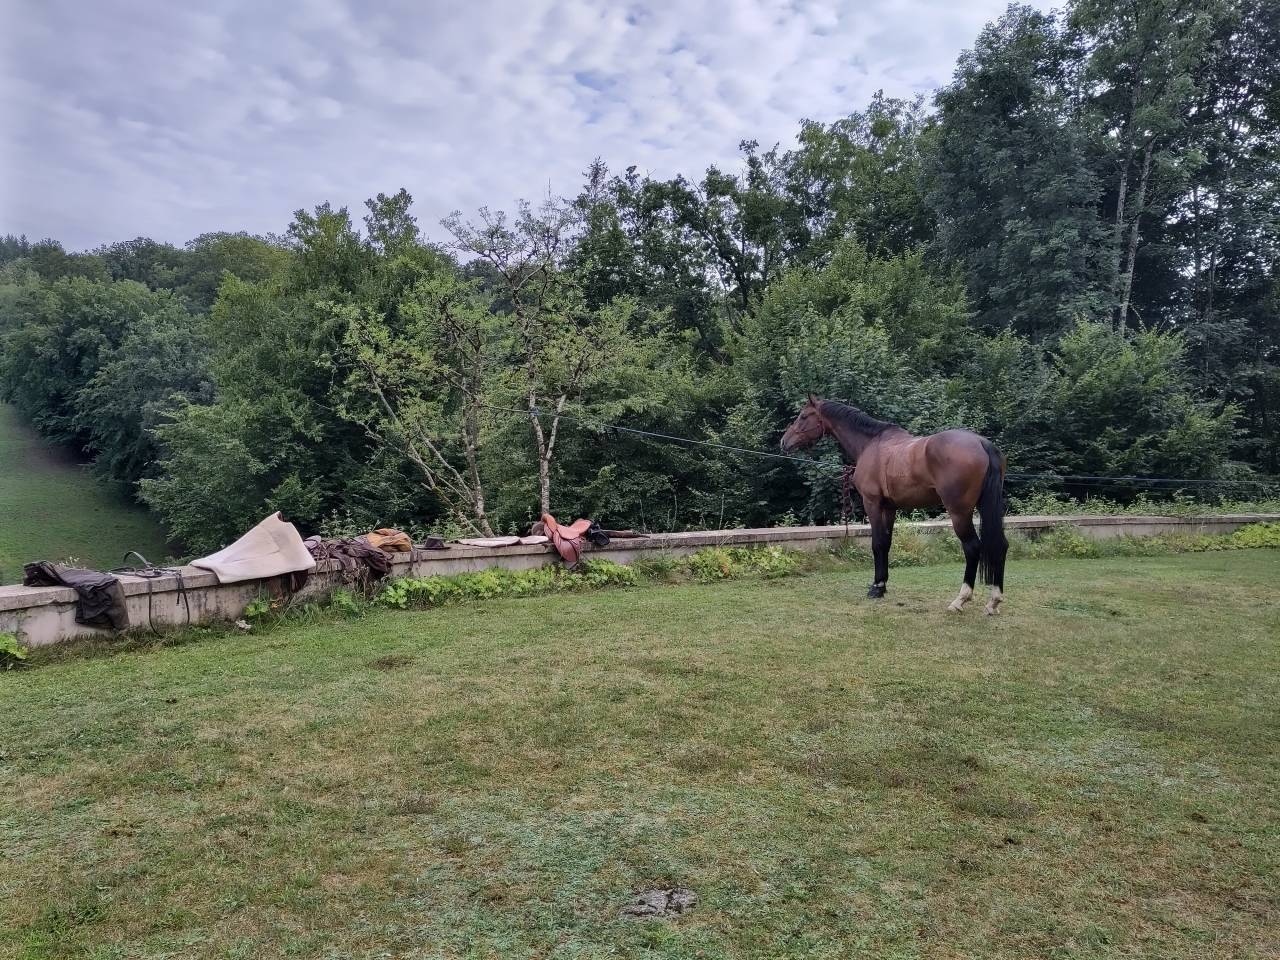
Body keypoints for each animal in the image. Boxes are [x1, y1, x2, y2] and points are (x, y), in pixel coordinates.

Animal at [780, 395, 1008, 614]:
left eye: (803, 416)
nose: (784, 442)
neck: (871, 444)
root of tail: (981, 443)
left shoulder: (872, 503)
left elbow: (877, 543)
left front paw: (876, 587)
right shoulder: (889, 508)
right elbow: (886, 544)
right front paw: (882, 585)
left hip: (959, 512)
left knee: (972, 547)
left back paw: (960, 600)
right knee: (1001, 545)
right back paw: (994, 601)